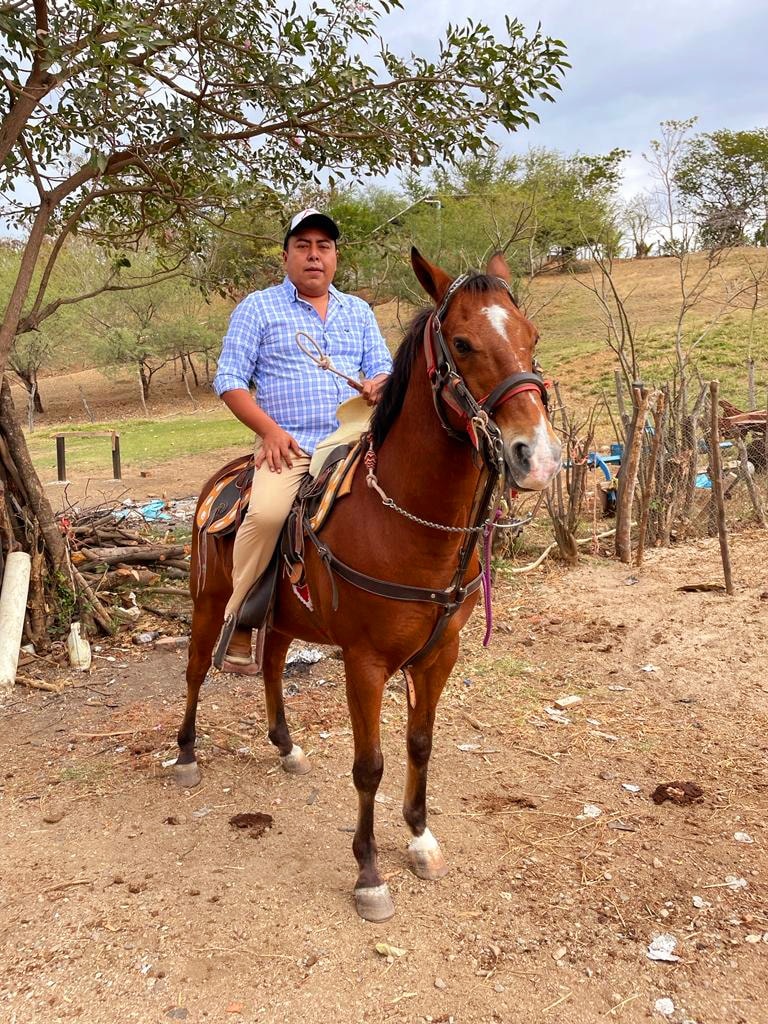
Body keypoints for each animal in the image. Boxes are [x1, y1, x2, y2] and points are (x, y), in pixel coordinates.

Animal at [177, 245, 561, 921]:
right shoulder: (365, 662)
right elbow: (369, 766)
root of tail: (223, 477)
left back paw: (286, 747)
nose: (535, 457)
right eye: (462, 343)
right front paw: (369, 874)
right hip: (209, 606)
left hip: (282, 616)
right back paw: (187, 755)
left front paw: (421, 839)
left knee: (272, 663)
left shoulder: (438, 655)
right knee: (197, 671)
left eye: (531, 336)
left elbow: (421, 744)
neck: (406, 524)